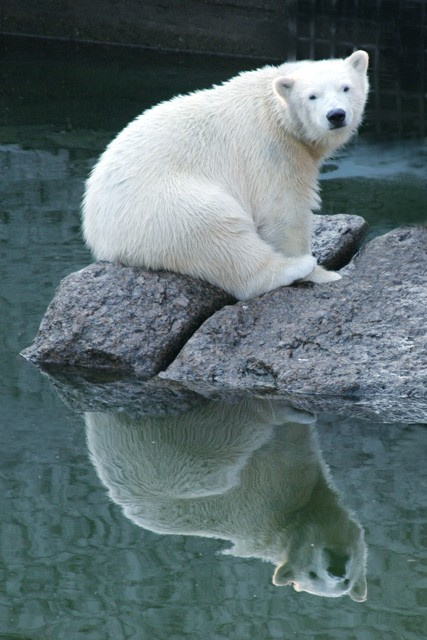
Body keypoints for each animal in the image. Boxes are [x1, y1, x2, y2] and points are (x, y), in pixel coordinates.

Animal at [82, 51, 369, 300]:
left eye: (345, 88)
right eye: (312, 96)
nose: (336, 115)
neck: (274, 107)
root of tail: (98, 233)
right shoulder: (271, 149)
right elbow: (284, 212)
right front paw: (323, 273)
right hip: (162, 207)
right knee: (218, 233)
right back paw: (294, 267)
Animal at [85, 398, 367, 601]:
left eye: (347, 581)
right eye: (311, 573)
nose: (336, 570)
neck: (288, 521)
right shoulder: (271, 489)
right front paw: (298, 411)